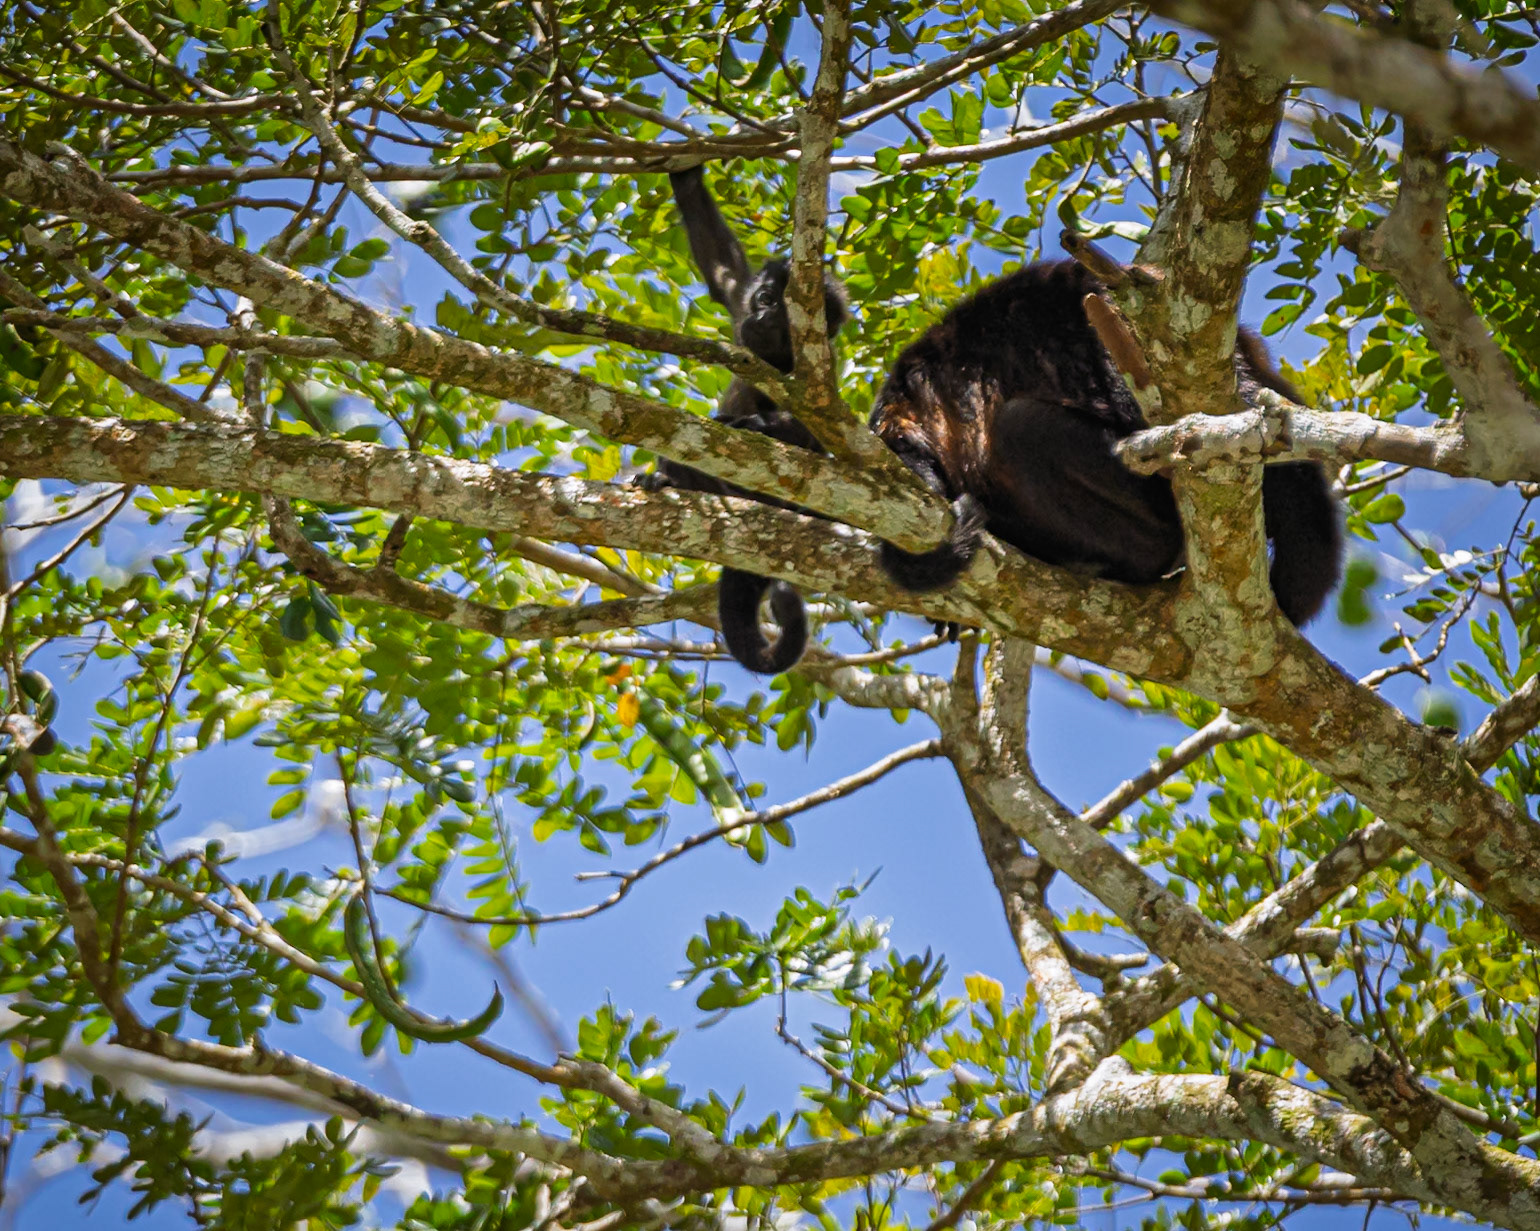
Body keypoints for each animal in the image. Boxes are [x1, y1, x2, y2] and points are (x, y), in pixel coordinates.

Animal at [639, 166, 848, 673]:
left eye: (784, 323)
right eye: (766, 297)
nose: (764, 316)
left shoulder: (819, 376)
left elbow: (818, 442)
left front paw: (754, 427)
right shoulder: (738, 302)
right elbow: (721, 269)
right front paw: (686, 171)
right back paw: (673, 479)